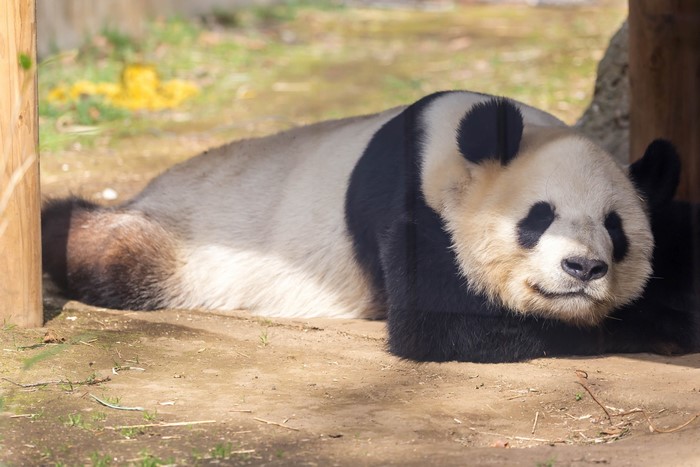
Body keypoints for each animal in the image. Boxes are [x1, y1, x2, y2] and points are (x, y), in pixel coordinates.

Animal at [42, 90, 699, 362]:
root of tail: (151, 190)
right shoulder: (411, 210)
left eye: (617, 229)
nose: (583, 267)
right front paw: (656, 327)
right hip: (183, 240)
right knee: (108, 251)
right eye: (538, 218)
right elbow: (444, 329)